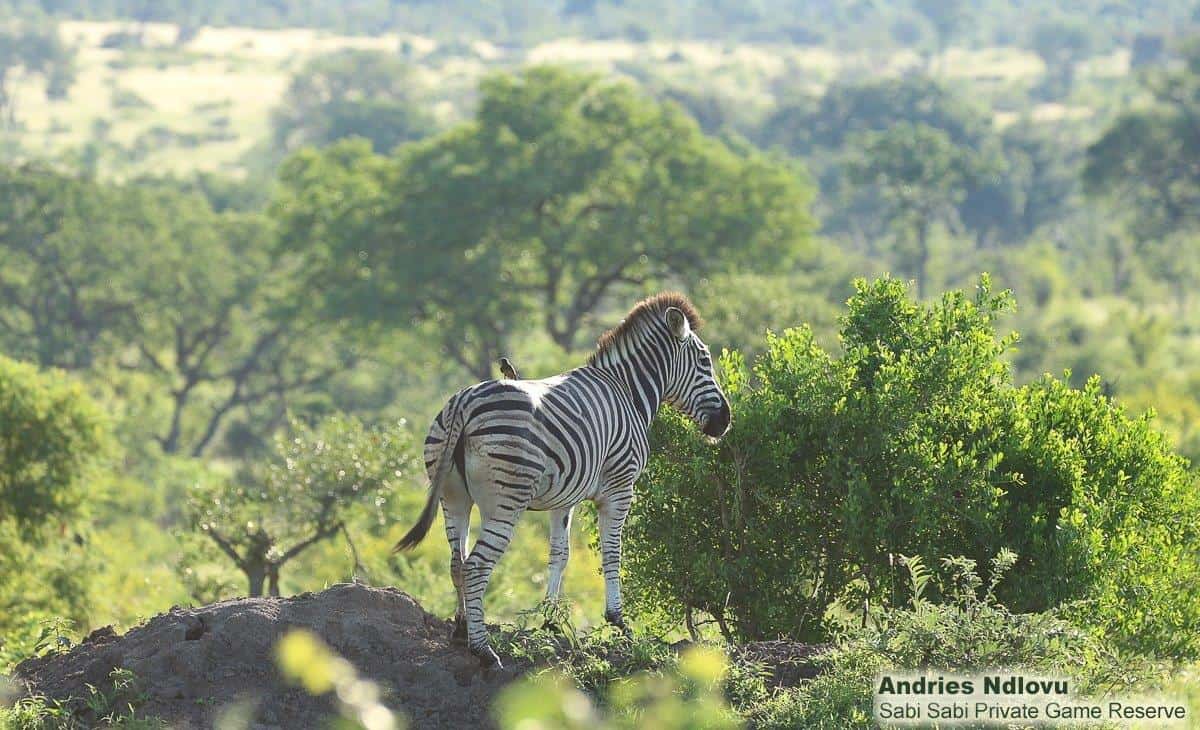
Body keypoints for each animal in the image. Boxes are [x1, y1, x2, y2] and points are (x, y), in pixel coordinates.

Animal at [393, 292, 731, 668]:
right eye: (705, 360)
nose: (725, 421)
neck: (627, 391)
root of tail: (463, 404)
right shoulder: (620, 487)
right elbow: (612, 553)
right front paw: (618, 621)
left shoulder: (564, 497)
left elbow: (559, 553)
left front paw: (550, 621)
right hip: (505, 500)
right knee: (476, 567)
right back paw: (483, 650)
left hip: (453, 497)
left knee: (457, 562)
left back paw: (461, 631)